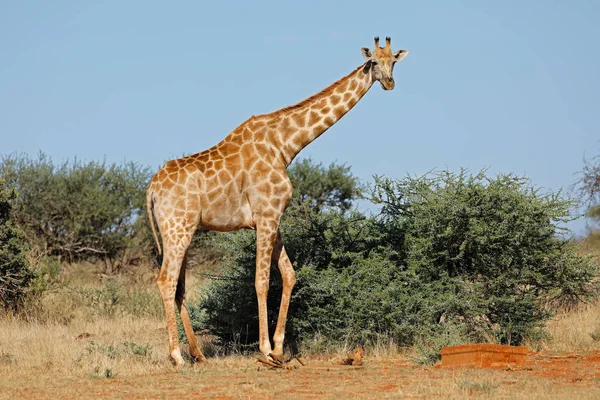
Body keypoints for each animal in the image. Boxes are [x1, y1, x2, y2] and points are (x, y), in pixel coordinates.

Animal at [146, 36, 408, 366]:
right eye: (373, 61)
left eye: (394, 61)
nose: (389, 82)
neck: (285, 146)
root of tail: (151, 189)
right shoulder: (266, 214)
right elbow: (261, 280)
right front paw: (265, 349)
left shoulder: (273, 217)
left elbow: (289, 275)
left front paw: (281, 348)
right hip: (177, 228)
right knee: (166, 280)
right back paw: (177, 356)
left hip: (183, 230)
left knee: (179, 286)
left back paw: (198, 354)